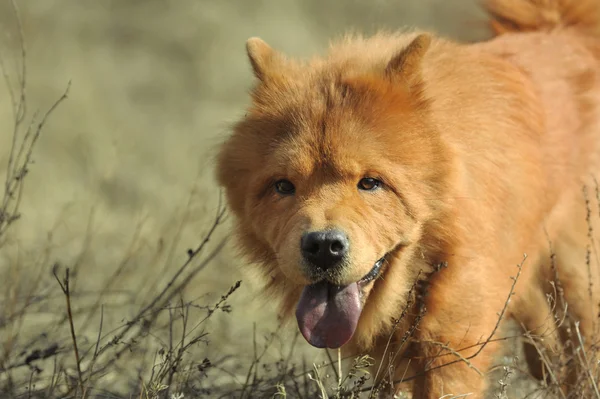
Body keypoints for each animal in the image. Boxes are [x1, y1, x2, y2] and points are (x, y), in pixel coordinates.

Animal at [216, 1, 600, 398]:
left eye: (370, 183)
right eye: (284, 186)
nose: (323, 247)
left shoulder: (453, 348)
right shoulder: (390, 360)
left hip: (578, 282)